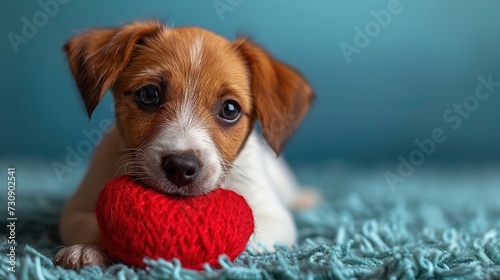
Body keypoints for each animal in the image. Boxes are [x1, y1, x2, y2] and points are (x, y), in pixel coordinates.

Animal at [55, 19, 316, 270]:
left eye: (230, 109)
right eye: (149, 95)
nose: (181, 167)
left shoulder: (275, 217)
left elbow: (250, 235)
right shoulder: (75, 210)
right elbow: (94, 223)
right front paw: (88, 248)